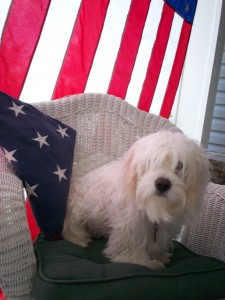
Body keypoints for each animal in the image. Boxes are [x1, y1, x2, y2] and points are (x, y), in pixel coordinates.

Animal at [62, 131, 209, 270]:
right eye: (151, 161)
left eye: (179, 165)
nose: (162, 184)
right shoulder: (130, 225)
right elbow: (133, 245)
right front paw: (139, 261)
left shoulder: (163, 230)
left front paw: (159, 256)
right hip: (78, 210)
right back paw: (79, 239)